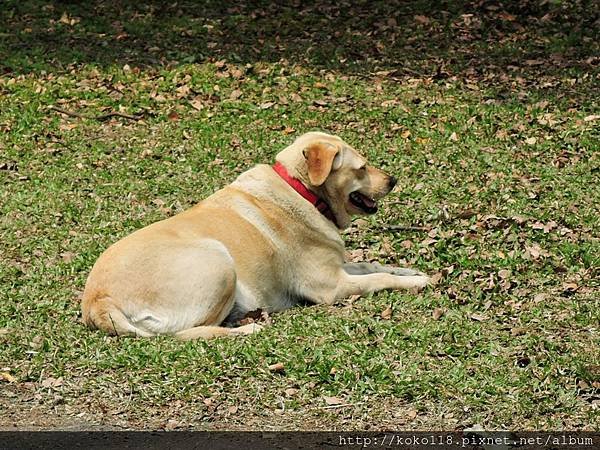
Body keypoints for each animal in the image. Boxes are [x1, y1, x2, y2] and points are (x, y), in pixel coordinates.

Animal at [82, 132, 432, 340]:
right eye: (361, 167)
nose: (393, 180)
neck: (302, 191)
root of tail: (98, 301)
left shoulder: (339, 266)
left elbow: (372, 265)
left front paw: (409, 270)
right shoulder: (333, 287)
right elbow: (379, 279)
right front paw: (417, 282)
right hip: (218, 260)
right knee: (192, 333)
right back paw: (247, 328)